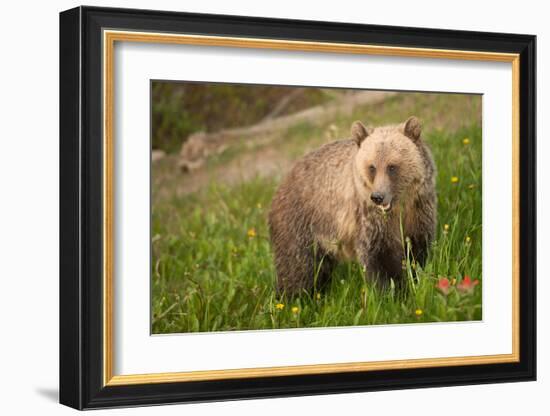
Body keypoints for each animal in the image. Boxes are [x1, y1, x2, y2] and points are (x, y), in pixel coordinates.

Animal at [270, 115, 438, 294]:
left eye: (392, 166)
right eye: (372, 167)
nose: (377, 197)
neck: (400, 206)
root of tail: (279, 187)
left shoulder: (418, 209)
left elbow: (417, 248)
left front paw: (416, 278)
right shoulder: (370, 218)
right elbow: (381, 257)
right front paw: (393, 290)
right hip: (301, 225)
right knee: (298, 267)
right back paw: (295, 295)